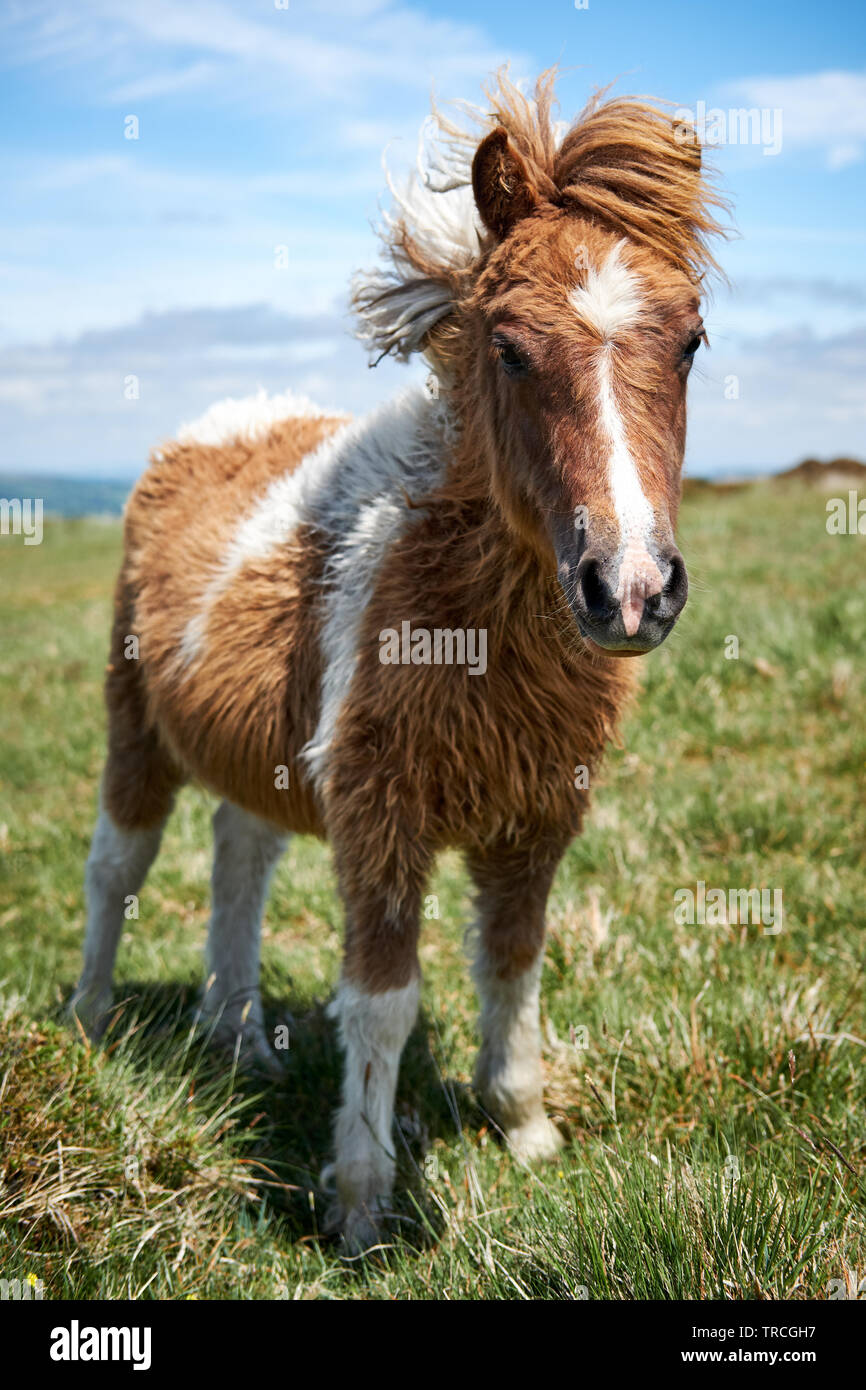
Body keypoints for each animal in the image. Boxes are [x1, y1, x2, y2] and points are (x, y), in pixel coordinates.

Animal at [70, 69, 726, 1251]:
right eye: (507, 346)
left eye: (691, 338)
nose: (630, 589)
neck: (469, 616)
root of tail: (216, 423)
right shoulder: (382, 809)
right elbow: (383, 999)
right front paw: (361, 1198)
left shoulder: (536, 816)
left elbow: (512, 961)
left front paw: (523, 1125)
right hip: (132, 716)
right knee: (117, 867)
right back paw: (92, 1020)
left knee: (241, 852)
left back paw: (238, 1036)